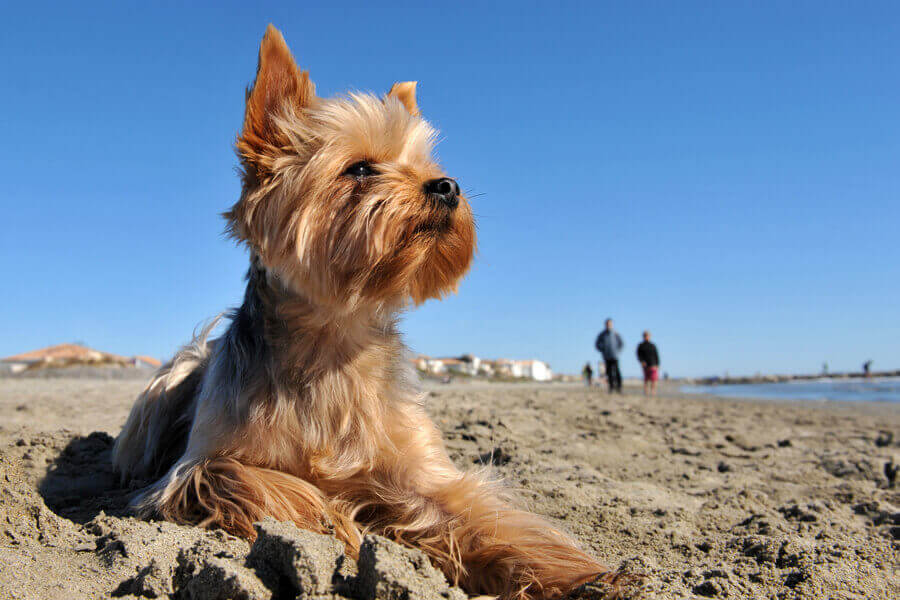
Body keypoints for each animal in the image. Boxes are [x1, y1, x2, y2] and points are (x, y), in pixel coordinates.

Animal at [112, 25, 612, 596]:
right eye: (360, 169)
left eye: (429, 169)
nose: (448, 186)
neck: (334, 339)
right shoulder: (199, 467)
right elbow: (259, 481)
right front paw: (338, 518)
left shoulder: (421, 470)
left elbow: (482, 518)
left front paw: (576, 576)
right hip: (174, 376)